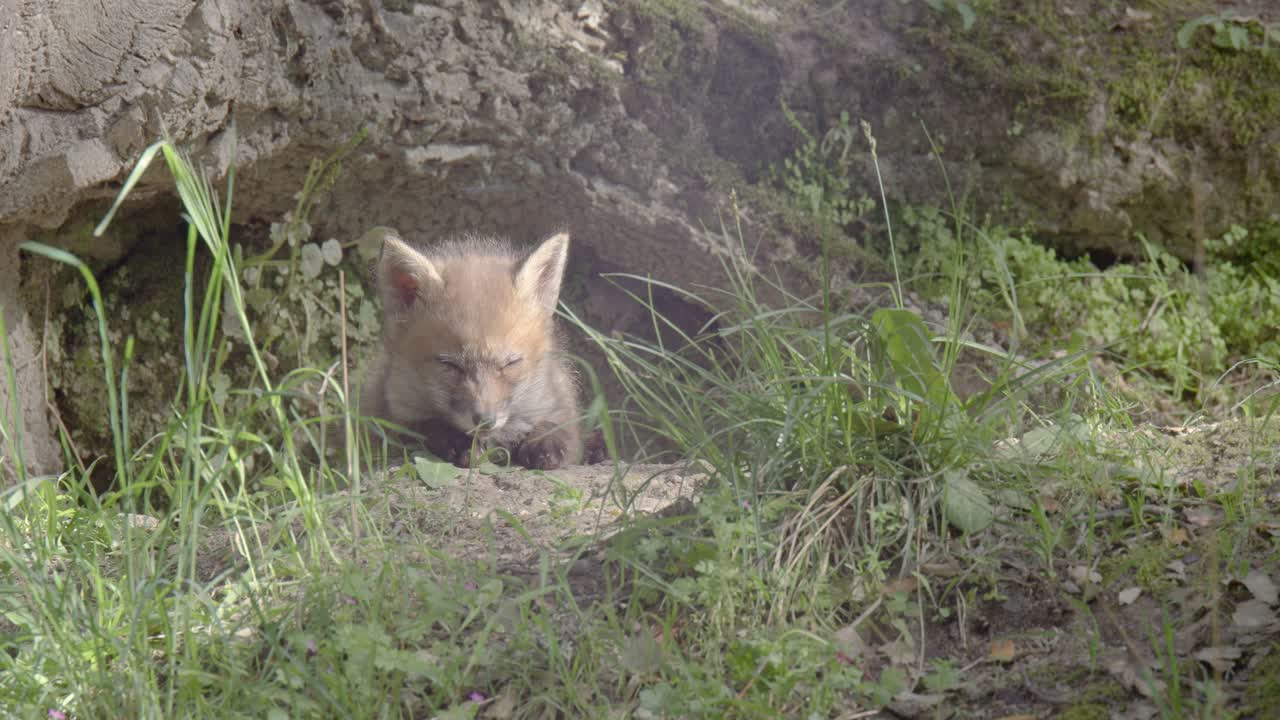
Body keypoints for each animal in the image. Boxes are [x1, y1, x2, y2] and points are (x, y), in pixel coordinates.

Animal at [360, 230, 584, 469]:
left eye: (510, 363)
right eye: (450, 364)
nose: (485, 421)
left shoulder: (557, 403)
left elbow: (557, 427)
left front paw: (545, 442)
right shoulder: (391, 416)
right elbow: (426, 426)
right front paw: (458, 442)